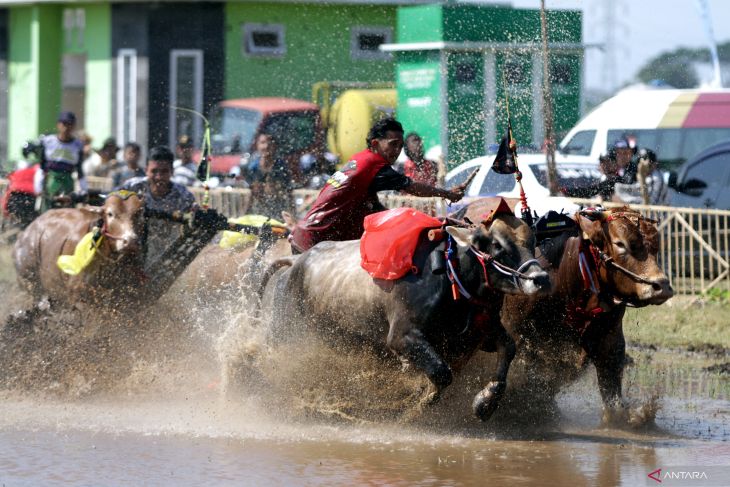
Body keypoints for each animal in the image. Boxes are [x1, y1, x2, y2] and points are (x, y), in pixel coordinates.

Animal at [13, 192, 144, 308]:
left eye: (137, 213)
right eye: (110, 213)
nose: (130, 242)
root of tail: (23, 236)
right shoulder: (77, 296)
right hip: (28, 281)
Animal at [258, 211, 548, 424]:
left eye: (532, 242)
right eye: (497, 245)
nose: (540, 278)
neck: (452, 276)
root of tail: (294, 264)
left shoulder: (481, 334)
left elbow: (508, 348)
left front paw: (485, 403)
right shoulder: (402, 337)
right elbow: (442, 373)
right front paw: (416, 403)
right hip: (285, 335)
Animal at [500, 208, 672, 426]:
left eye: (656, 246)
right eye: (620, 244)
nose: (661, 286)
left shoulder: (610, 342)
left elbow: (613, 400)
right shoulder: (519, 340)